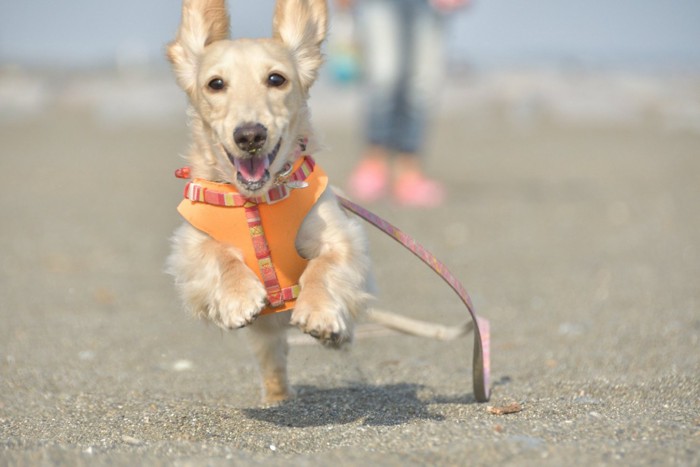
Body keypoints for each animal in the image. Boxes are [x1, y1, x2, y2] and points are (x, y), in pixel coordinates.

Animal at [165, 0, 372, 402]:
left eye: (276, 79)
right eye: (215, 84)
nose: (249, 135)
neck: (256, 201)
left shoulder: (342, 237)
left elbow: (322, 268)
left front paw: (320, 311)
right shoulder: (189, 247)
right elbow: (221, 256)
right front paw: (239, 296)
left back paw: (337, 334)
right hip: (266, 337)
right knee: (273, 363)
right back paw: (277, 397)